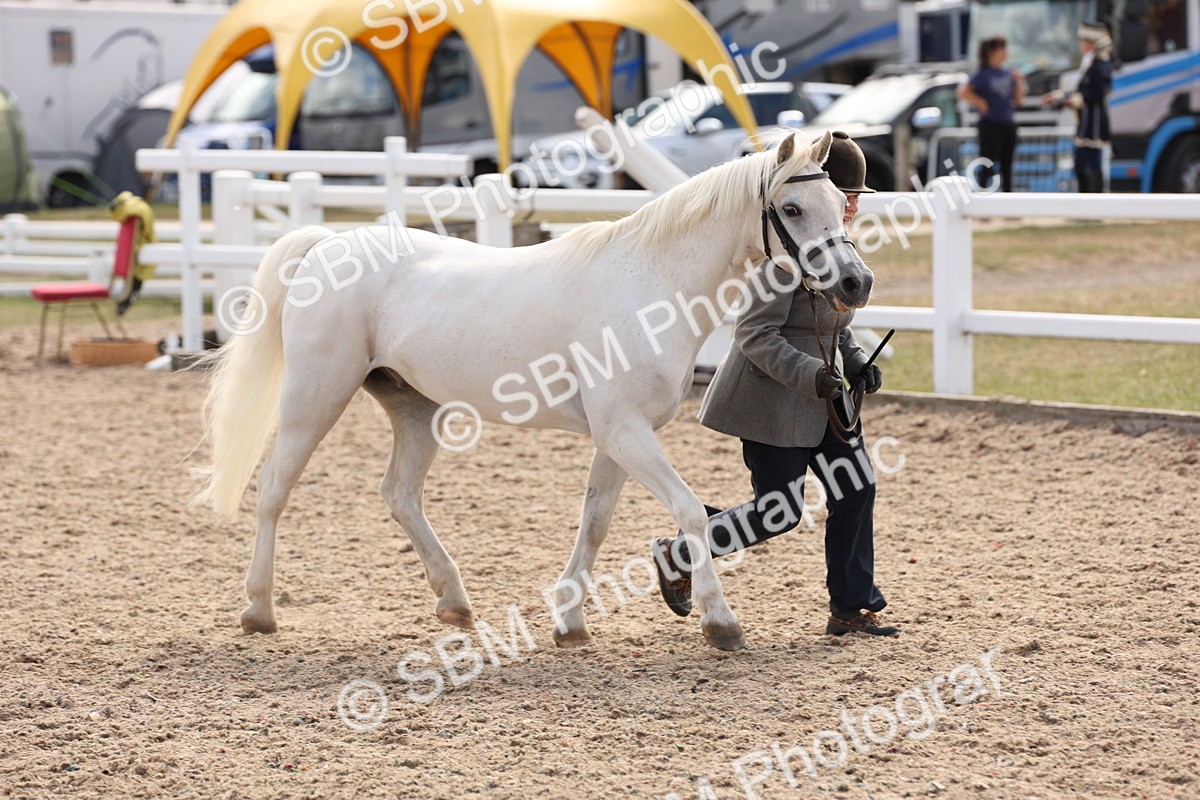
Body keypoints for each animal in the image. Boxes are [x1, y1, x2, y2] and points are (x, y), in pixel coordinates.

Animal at [197, 129, 873, 651]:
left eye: (838, 202)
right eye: (792, 209)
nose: (855, 283)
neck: (649, 284)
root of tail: (329, 243)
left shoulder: (619, 437)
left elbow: (595, 522)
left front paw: (570, 623)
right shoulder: (625, 433)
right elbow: (687, 512)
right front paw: (720, 622)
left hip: (414, 407)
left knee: (399, 494)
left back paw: (454, 602)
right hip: (315, 397)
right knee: (273, 490)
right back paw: (258, 611)